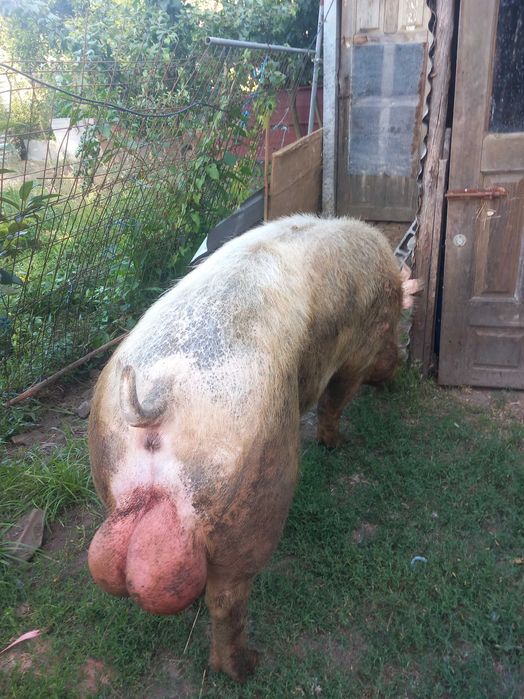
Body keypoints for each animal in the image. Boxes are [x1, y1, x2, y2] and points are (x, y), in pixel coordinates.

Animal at [87, 214, 417, 682]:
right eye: (395, 333)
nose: (400, 366)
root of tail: (157, 396)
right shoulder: (355, 354)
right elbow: (335, 402)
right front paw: (339, 444)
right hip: (249, 494)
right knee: (227, 599)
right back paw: (245, 667)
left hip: (110, 467)